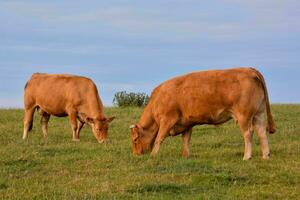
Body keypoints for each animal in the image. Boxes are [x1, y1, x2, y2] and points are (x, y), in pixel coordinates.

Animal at [130, 68, 276, 160]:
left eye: (135, 140)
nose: (136, 155)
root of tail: (249, 69)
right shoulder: (187, 123)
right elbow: (186, 140)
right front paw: (185, 155)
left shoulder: (167, 120)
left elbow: (159, 138)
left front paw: (153, 155)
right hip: (258, 114)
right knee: (261, 132)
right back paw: (265, 155)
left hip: (244, 116)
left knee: (248, 133)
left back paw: (247, 156)